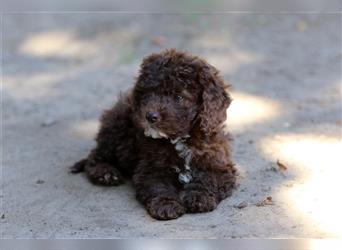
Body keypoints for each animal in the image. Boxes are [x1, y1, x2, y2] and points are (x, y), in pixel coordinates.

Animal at [71, 49, 236, 221]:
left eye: (179, 97)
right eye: (148, 93)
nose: (150, 116)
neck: (180, 139)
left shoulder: (218, 164)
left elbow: (209, 179)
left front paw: (198, 196)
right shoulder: (151, 167)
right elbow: (158, 185)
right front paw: (166, 205)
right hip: (116, 126)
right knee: (95, 155)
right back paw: (105, 173)